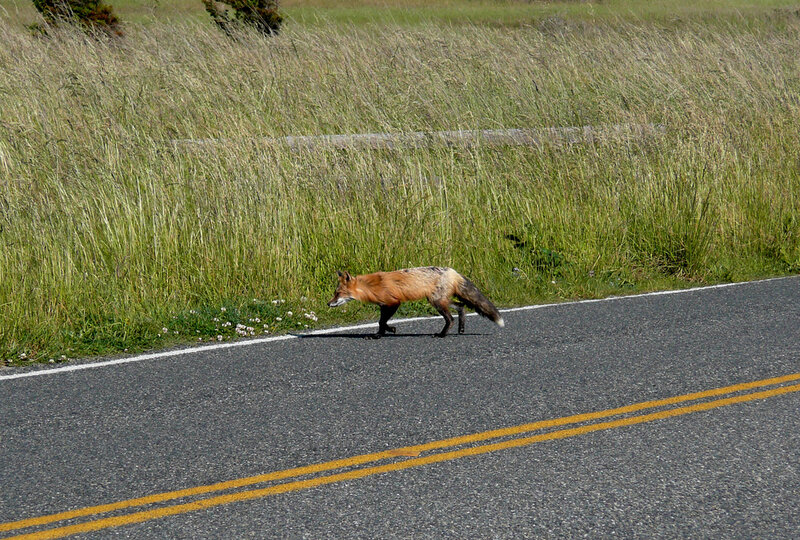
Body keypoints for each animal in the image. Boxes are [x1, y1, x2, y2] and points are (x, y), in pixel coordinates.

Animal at [327, 266, 504, 338]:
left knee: (450, 319)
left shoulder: (393, 302)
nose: (328, 304)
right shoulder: (384, 306)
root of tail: (453, 271)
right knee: (461, 307)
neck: (371, 286)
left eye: (338, 294)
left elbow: (381, 322)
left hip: (437, 302)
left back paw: (442, 335)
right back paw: (461, 328)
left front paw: (380, 334)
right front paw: (386, 331)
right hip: (440, 300)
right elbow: (381, 322)